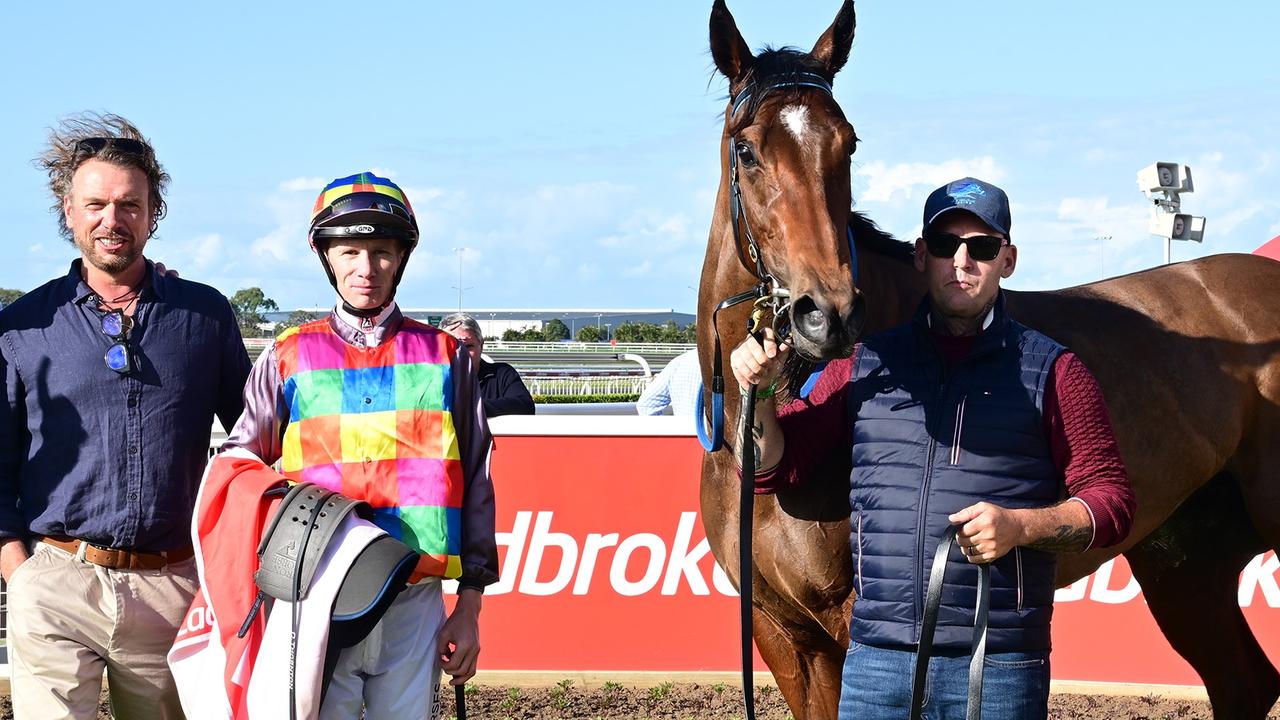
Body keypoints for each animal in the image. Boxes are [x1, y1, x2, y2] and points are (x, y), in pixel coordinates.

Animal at [696, 2, 1280, 712]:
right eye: (747, 149)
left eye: (848, 145)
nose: (826, 313)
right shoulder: (783, 633)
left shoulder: (854, 625)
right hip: (1184, 561)